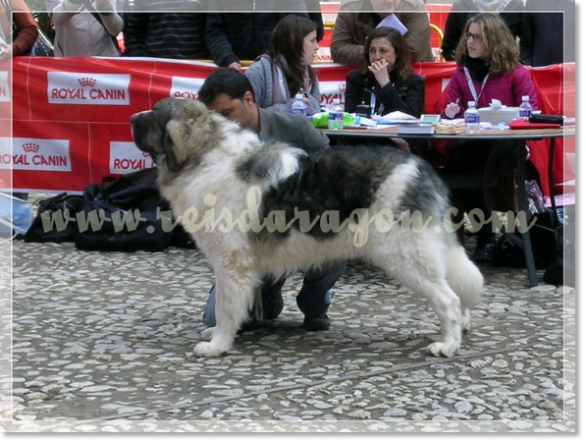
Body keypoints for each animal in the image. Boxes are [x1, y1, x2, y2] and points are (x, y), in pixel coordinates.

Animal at [130, 99, 482, 360]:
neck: (205, 157)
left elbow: (226, 306)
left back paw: (448, 345)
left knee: (448, 299)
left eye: (154, 114)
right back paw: (462, 328)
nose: (132, 116)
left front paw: (217, 345)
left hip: (403, 256)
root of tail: (423, 169)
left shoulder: (231, 264)